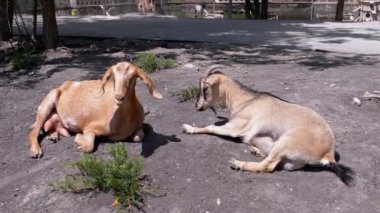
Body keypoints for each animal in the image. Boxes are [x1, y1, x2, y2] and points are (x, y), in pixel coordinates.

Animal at [28, 61, 162, 158]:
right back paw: (35, 151)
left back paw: (53, 136)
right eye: (113, 77)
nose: (119, 97)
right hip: (47, 103)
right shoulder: (90, 127)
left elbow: (138, 137)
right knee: (34, 131)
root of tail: (65, 85)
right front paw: (78, 138)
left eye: (133, 77)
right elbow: (89, 146)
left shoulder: (139, 126)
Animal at [183, 65, 354, 186]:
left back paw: (237, 163)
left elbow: (211, 127)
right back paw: (255, 150)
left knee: (267, 166)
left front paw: (188, 128)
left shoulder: (236, 127)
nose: (197, 106)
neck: (247, 100)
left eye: (204, 88)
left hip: (286, 142)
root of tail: (328, 154)